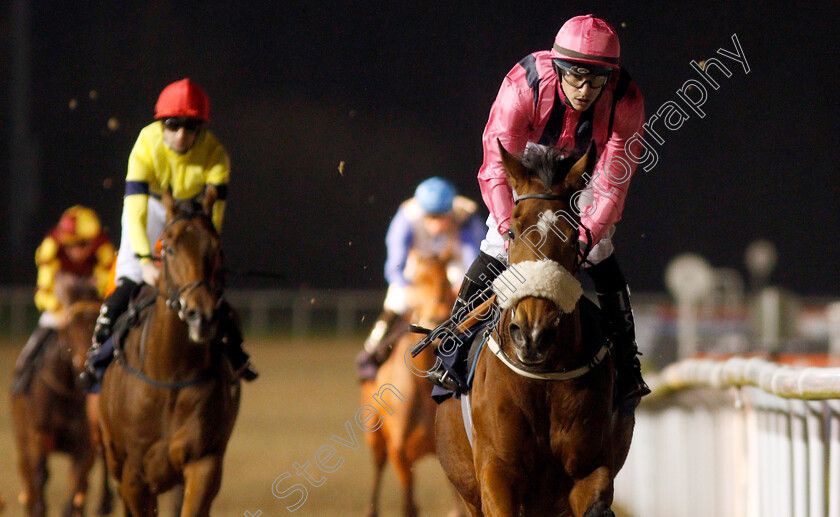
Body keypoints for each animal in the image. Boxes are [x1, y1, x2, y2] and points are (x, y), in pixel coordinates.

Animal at [10, 272, 115, 512]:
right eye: (71, 324)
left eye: (98, 320)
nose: (84, 363)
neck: (67, 391)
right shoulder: (38, 438)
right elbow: (40, 483)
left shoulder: (84, 448)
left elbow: (75, 494)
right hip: (23, 441)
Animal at [100, 189, 243, 516]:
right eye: (169, 247)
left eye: (216, 247)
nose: (200, 315)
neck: (170, 373)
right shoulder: (135, 475)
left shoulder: (203, 461)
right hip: (115, 458)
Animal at [360, 251, 466, 516]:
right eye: (417, 282)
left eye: (445, 281)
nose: (436, 313)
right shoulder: (400, 452)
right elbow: (409, 505)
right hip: (374, 432)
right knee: (378, 466)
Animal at [436, 142, 632, 516]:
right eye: (512, 232)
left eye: (573, 238)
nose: (532, 334)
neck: (543, 382)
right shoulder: (496, 473)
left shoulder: (591, 469)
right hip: (467, 490)